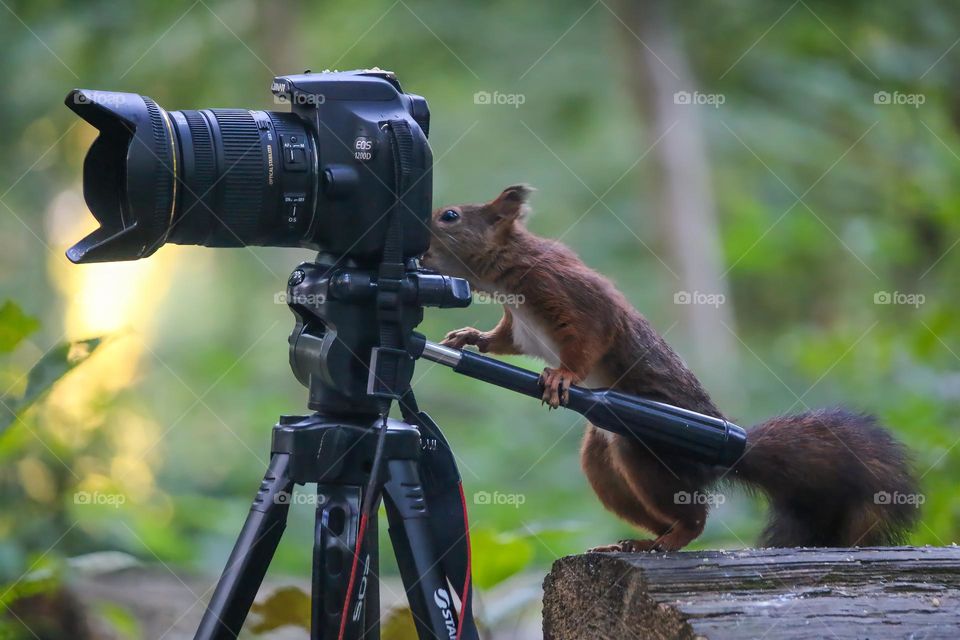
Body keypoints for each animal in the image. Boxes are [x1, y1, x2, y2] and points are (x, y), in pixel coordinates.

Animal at [424, 184, 920, 552]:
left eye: (449, 215)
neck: (505, 273)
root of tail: (722, 459)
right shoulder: (521, 328)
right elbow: (502, 340)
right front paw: (469, 337)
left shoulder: (569, 296)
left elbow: (588, 342)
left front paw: (562, 375)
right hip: (604, 460)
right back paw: (639, 542)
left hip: (647, 454)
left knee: (695, 516)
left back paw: (674, 536)